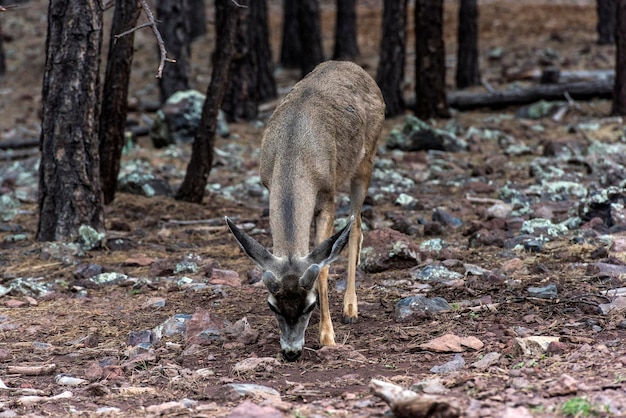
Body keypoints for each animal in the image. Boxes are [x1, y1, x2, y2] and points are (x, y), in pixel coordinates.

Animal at [222, 60, 382, 360]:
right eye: (272, 306)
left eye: (310, 305)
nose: (291, 352)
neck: (293, 154)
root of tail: (353, 65)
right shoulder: (268, 185)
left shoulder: (328, 194)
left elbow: (323, 267)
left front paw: (328, 336)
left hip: (366, 159)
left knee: (356, 227)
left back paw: (351, 309)